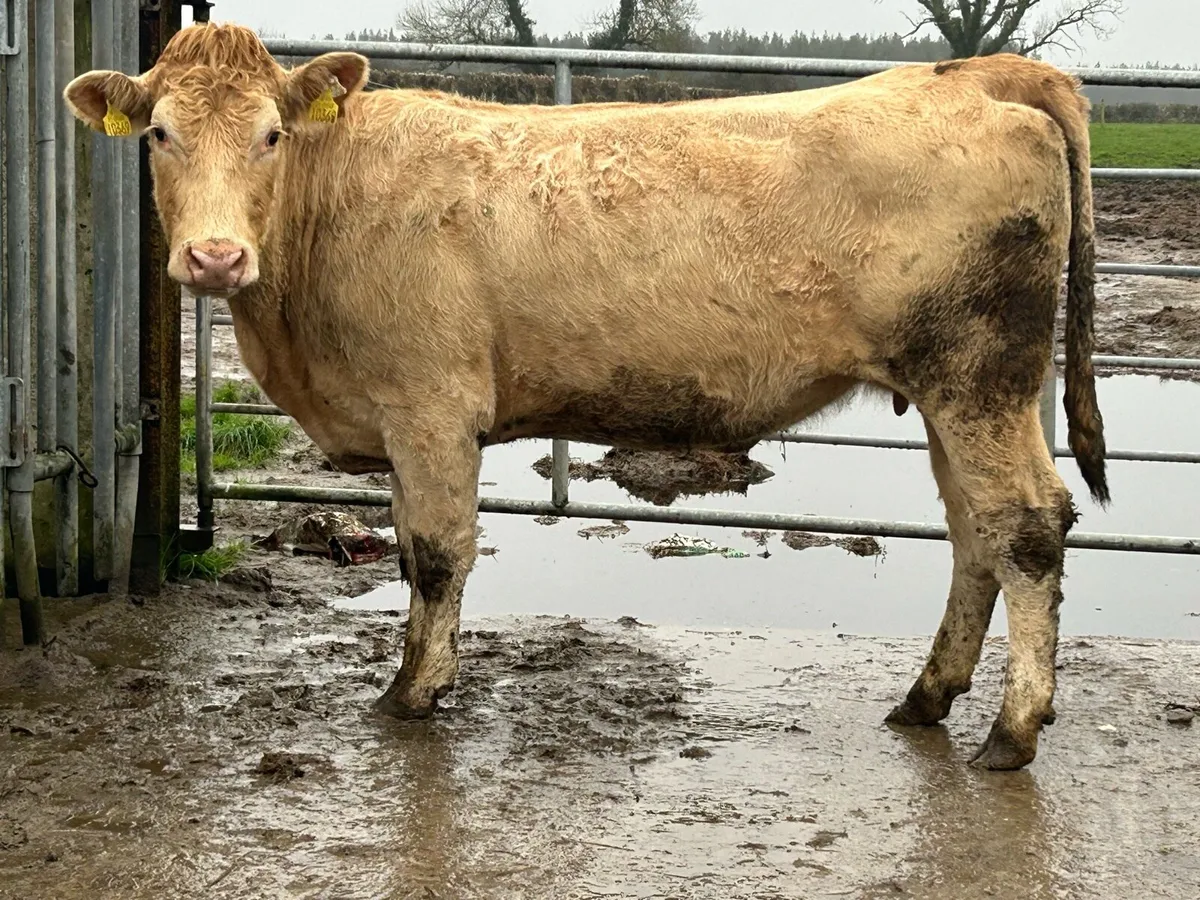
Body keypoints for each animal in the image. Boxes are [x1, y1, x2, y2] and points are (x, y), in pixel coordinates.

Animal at [66, 23, 1108, 770]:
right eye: (158, 134)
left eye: (271, 135)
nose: (214, 257)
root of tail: (973, 75)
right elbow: (406, 551)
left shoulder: (431, 406)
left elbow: (437, 555)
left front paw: (414, 694)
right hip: (950, 393)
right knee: (974, 533)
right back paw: (926, 698)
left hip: (980, 376)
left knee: (1025, 523)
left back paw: (1012, 731)